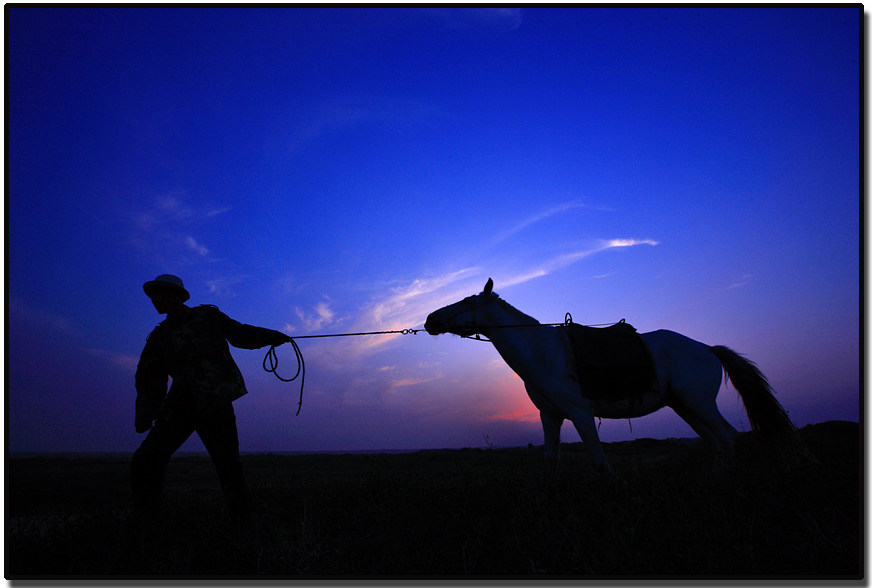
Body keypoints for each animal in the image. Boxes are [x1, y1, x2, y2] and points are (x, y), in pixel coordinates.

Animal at [422, 276, 796, 474]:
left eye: (467, 300)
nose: (429, 319)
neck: (544, 352)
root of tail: (707, 348)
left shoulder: (580, 413)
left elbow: (600, 460)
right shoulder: (550, 415)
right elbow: (550, 458)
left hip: (699, 403)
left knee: (728, 437)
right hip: (686, 407)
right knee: (717, 441)